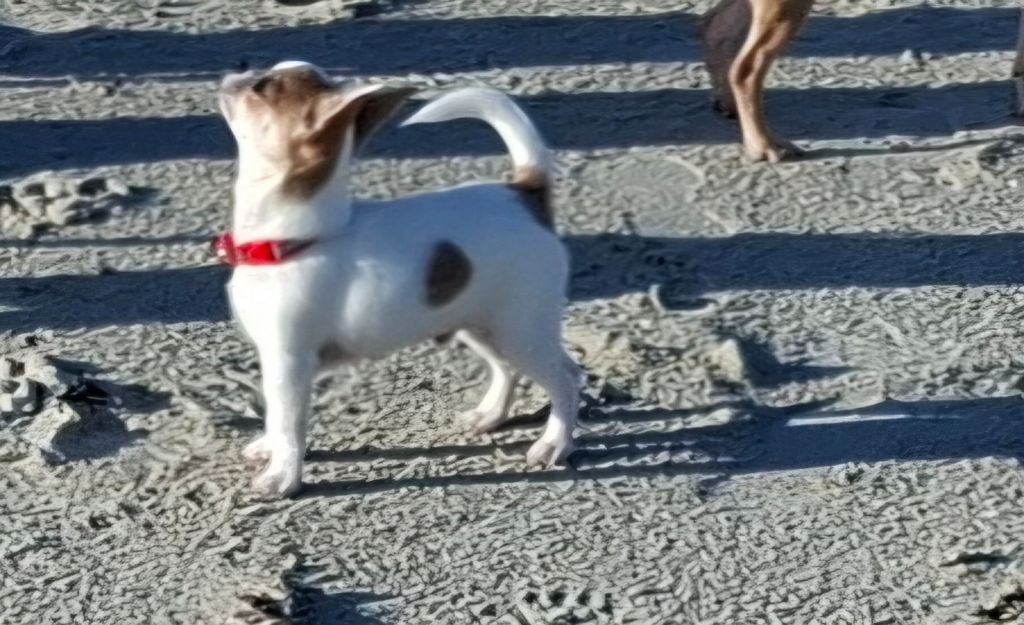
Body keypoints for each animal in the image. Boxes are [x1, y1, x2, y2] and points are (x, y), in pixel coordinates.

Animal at [216, 61, 582, 498]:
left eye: (262, 87)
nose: (235, 74)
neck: (295, 240)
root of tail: (525, 193)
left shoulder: (289, 361)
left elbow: (288, 422)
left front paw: (283, 476)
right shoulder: (283, 364)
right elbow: (275, 416)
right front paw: (269, 450)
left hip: (521, 331)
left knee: (566, 379)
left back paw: (554, 443)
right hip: (481, 324)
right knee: (506, 369)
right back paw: (490, 415)